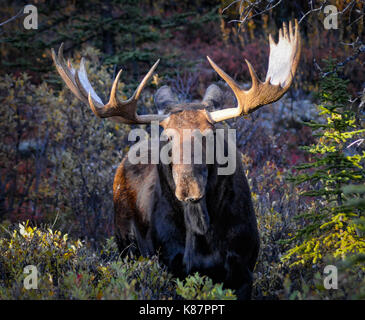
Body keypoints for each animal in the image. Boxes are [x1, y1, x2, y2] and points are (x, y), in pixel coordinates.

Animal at [52, 20, 302, 300]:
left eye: (209, 134)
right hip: (126, 247)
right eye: (167, 136)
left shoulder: (244, 269)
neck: (204, 233)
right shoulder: (171, 266)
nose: (188, 187)